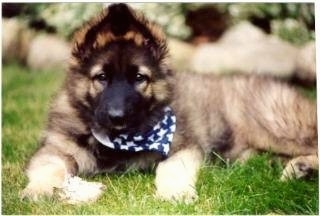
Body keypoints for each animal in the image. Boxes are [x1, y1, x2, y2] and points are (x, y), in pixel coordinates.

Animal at [21, 2, 318, 202]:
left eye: (139, 78)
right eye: (101, 77)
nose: (117, 117)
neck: (121, 142)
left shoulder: (184, 147)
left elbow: (171, 168)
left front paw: (176, 194)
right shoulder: (55, 148)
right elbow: (49, 167)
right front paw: (38, 189)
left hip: (277, 127)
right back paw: (299, 169)